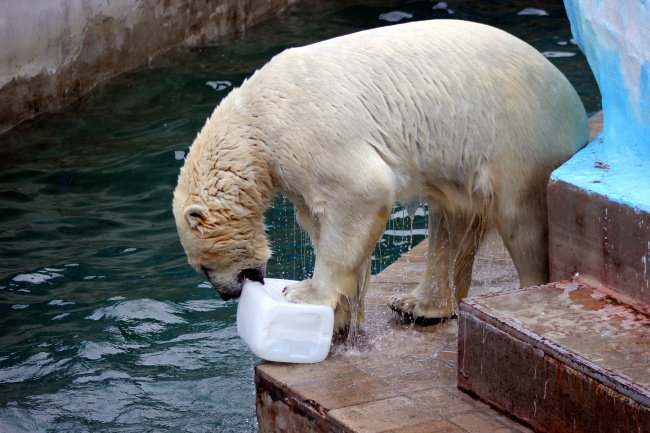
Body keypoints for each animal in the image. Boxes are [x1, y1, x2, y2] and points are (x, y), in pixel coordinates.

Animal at [172, 19, 588, 330]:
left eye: (203, 266)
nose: (228, 294)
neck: (255, 124)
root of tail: (579, 112)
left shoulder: (311, 133)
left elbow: (360, 194)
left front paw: (305, 293)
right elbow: (320, 221)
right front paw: (343, 314)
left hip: (518, 137)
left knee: (522, 222)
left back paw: (523, 292)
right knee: (452, 221)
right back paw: (419, 304)